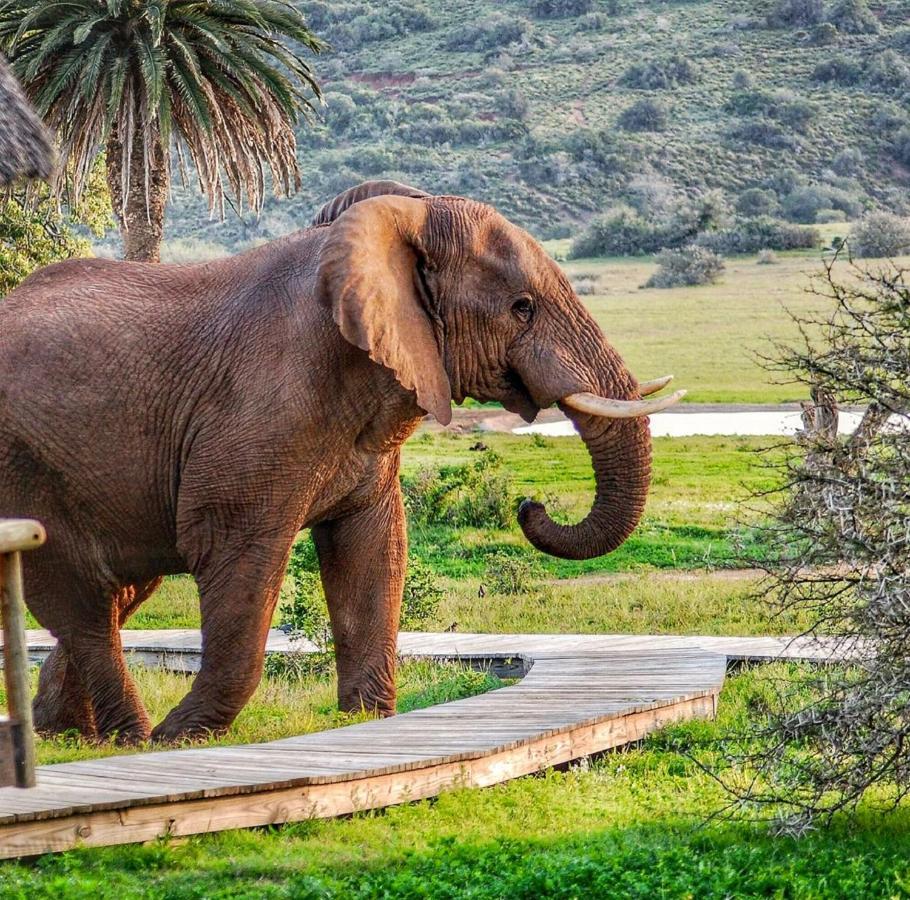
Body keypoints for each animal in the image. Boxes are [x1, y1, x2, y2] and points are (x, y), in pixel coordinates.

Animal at [0, 179, 684, 740]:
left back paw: (70, 734)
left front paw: (366, 719)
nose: (529, 506)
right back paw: (137, 737)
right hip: (28, 464)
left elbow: (371, 548)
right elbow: (238, 552)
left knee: (118, 590)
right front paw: (186, 736)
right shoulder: (258, 415)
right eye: (521, 308)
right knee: (85, 601)